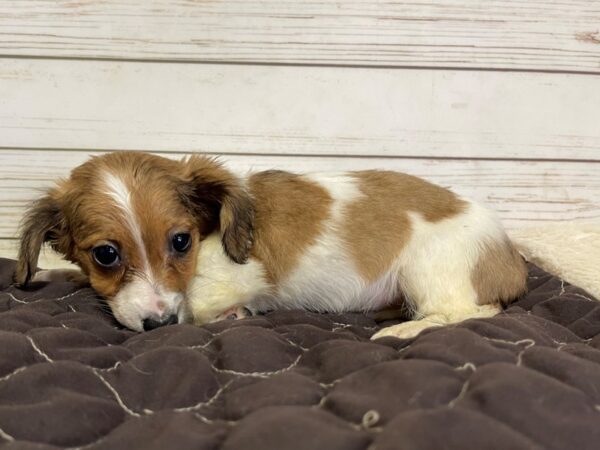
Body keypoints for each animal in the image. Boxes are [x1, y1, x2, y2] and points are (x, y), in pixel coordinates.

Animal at [14, 151, 528, 338]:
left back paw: (403, 329)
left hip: (429, 270)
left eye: (180, 241)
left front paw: (230, 315)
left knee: (471, 312)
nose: (158, 324)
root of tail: (511, 258)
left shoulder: (238, 280)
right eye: (105, 255)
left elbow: (199, 308)